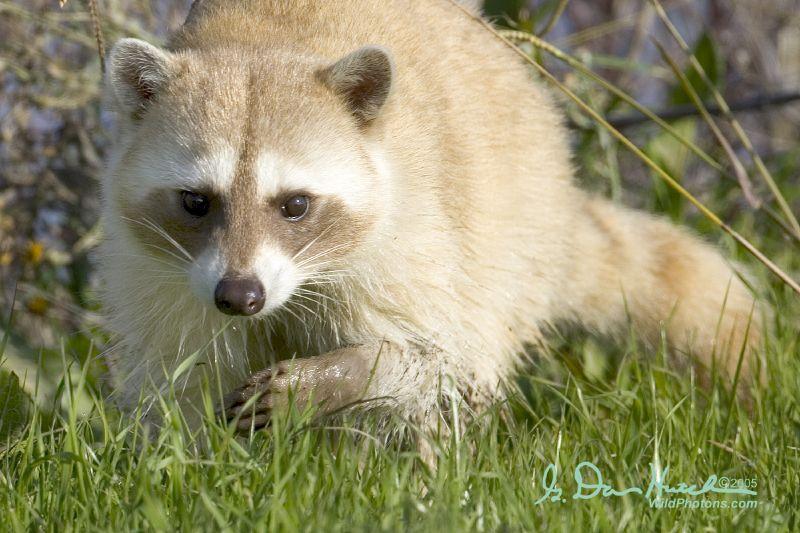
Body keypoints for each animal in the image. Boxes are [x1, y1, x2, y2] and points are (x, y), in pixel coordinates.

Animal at [100, 0, 764, 430]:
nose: (240, 297)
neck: (259, 44)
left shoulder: (417, 235)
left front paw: (341, 375)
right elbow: (179, 386)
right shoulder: (157, 275)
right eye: (196, 201)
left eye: (295, 205)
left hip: (513, 220)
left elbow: (439, 360)